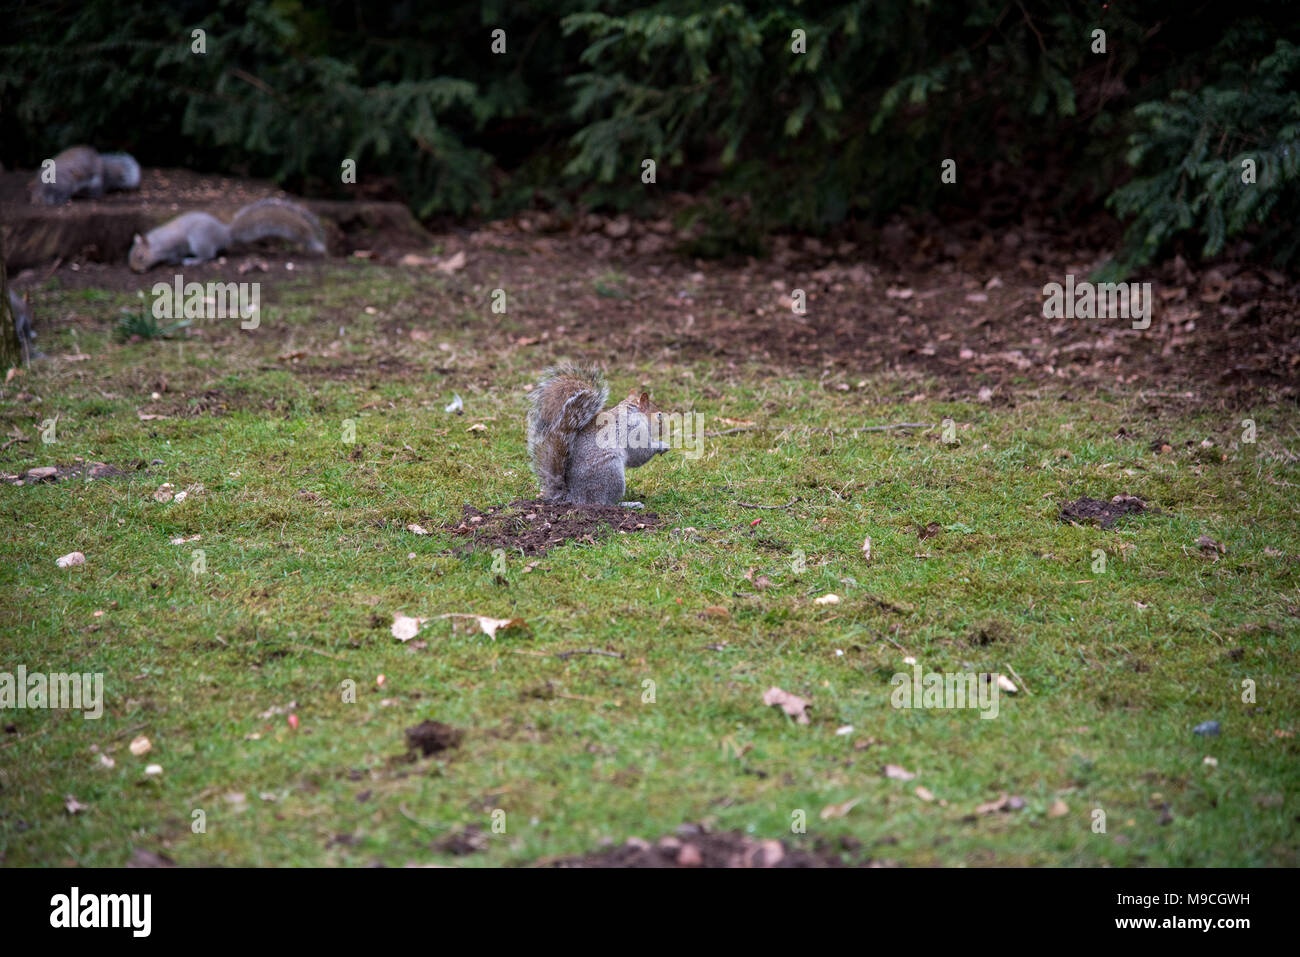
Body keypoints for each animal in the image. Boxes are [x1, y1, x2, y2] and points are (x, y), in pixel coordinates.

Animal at [127, 197, 327, 273]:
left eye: (141, 256)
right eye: (130, 255)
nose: (135, 269)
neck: (157, 244)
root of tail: (225, 233)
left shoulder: (175, 244)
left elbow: (175, 253)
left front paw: (173, 261)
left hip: (199, 241)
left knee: (209, 255)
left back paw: (193, 260)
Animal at [527, 361, 670, 509]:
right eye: (659, 415)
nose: (666, 430)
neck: (633, 413)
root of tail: (575, 497)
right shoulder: (632, 430)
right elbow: (640, 454)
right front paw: (662, 445)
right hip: (611, 472)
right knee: (606, 503)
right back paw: (629, 504)